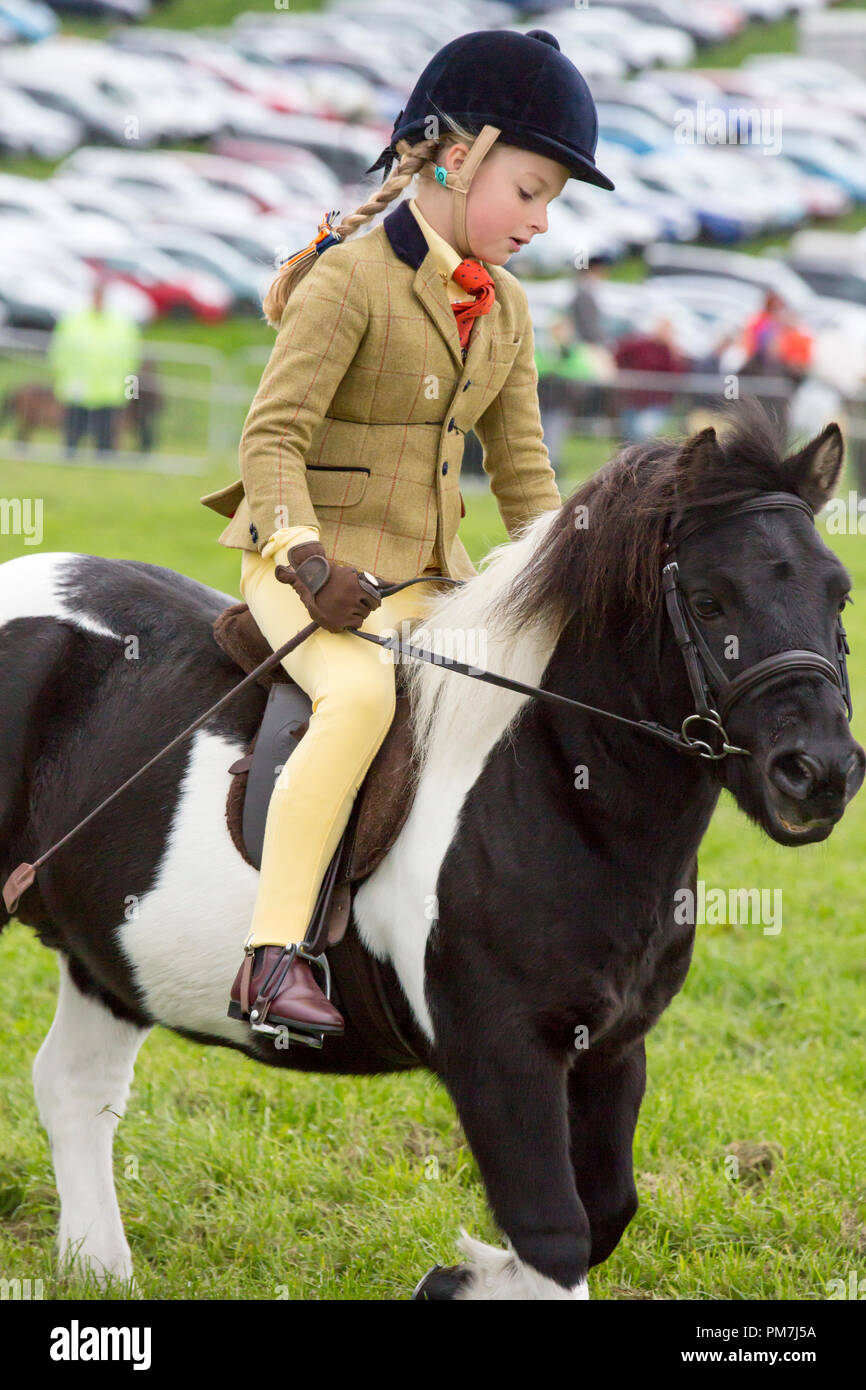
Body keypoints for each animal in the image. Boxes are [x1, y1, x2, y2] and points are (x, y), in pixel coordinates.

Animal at [0, 404, 862, 1299]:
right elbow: (555, 1235)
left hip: (106, 956)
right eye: (708, 600)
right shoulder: (500, 1055)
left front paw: (465, 1276)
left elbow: (605, 1212)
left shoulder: (612, 1047)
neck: (558, 788)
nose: (818, 774)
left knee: (76, 1087)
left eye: (838, 591)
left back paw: (98, 1272)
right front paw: (478, 1272)